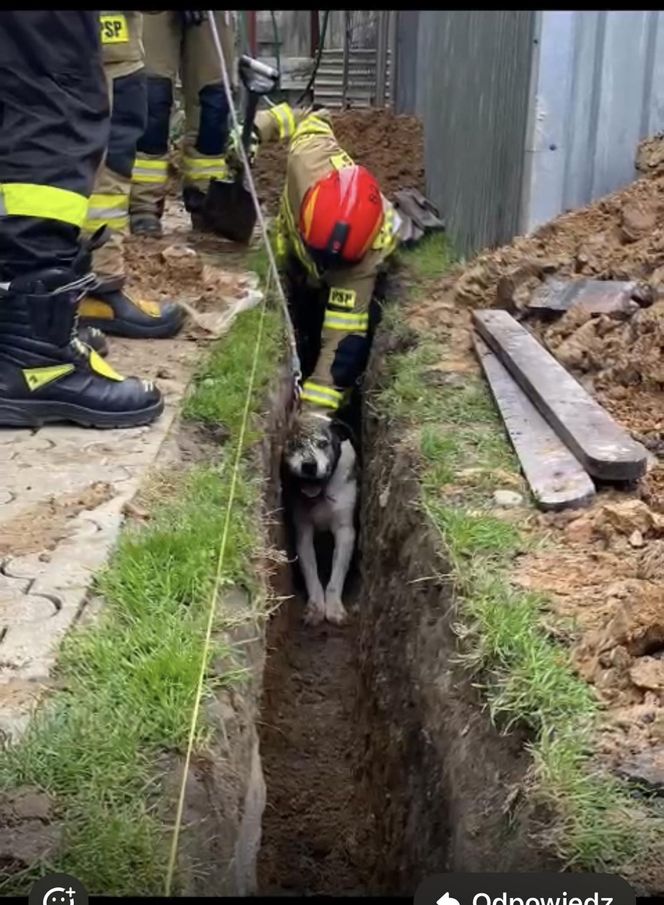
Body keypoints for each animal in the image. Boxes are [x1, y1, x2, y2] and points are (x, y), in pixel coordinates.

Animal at [284, 412, 360, 628]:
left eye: (323, 443)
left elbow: (337, 575)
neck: (322, 493)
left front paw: (334, 609)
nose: (309, 465)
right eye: (294, 444)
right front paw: (315, 607)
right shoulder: (303, 532)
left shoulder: (345, 532)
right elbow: (311, 573)